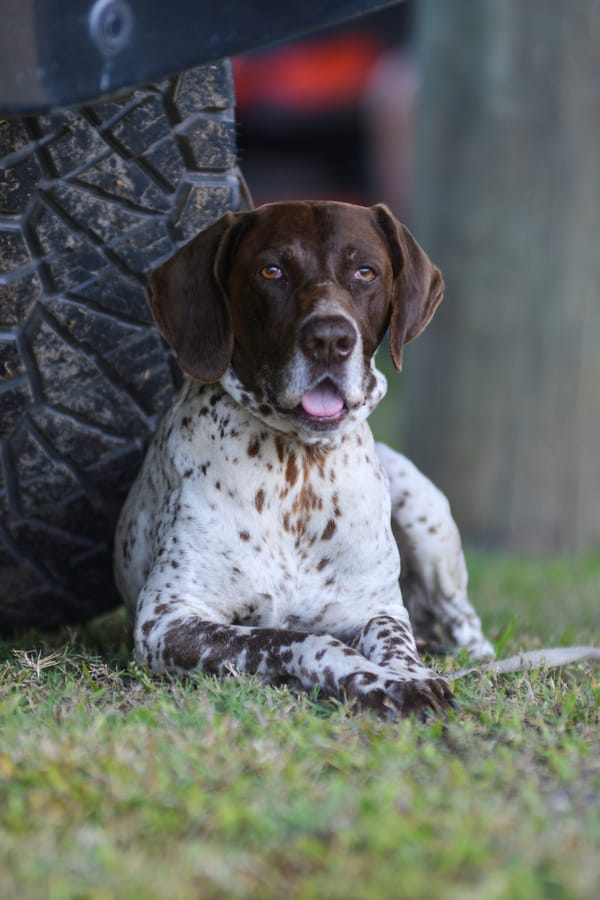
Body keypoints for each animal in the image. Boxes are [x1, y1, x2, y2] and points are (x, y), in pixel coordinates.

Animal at [113, 202, 492, 716]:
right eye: (272, 270)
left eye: (365, 272)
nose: (331, 340)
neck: (299, 471)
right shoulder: (168, 621)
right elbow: (304, 639)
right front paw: (375, 681)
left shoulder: (378, 608)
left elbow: (393, 639)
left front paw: (409, 675)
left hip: (423, 511)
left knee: (465, 622)